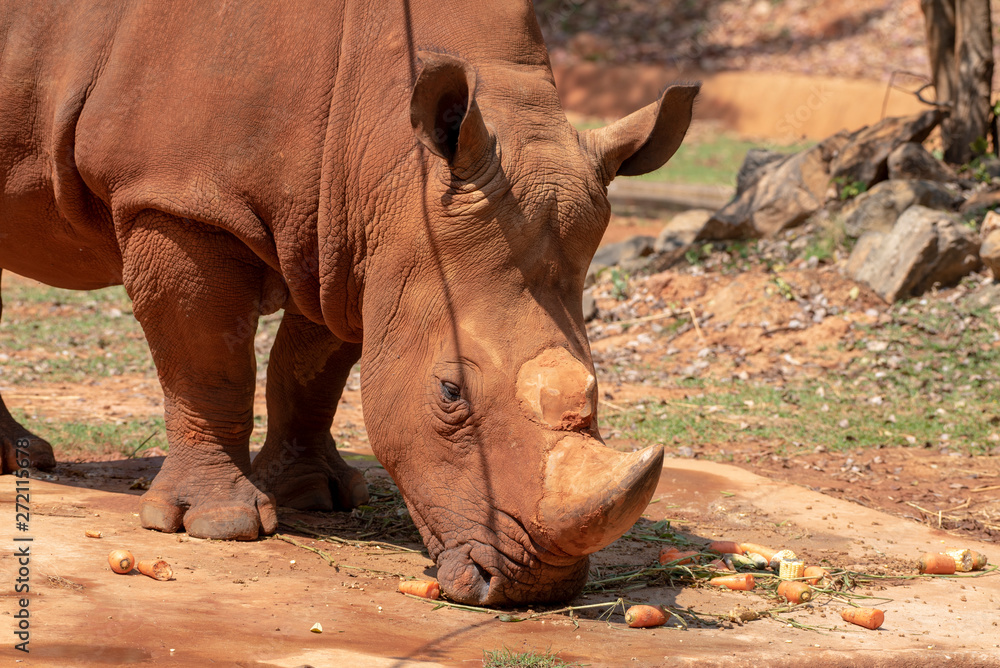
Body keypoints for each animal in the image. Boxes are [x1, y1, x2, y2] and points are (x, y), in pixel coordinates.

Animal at [0, 0, 696, 605]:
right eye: (451, 393)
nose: (539, 587)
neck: (393, 150)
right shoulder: (176, 197)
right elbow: (209, 362)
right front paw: (220, 525)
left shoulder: (351, 235)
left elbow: (313, 369)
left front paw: (314, 495)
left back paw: (24, 460)